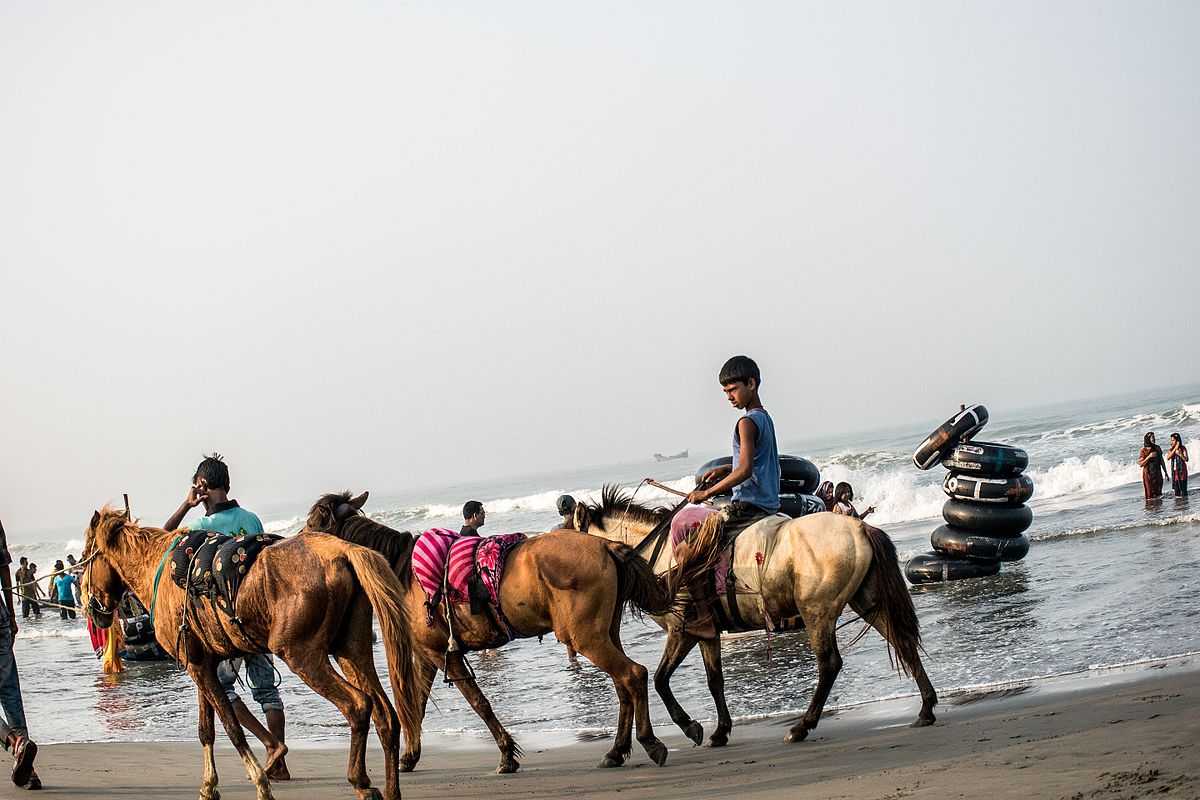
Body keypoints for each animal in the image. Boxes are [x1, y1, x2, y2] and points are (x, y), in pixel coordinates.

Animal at [81, 506, 422, 800]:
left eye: (84, 560)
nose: (92, 610)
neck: (158, 570)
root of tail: (341, 550)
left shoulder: (199, 667)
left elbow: (232, 727)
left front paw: (260, 784)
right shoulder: (201, 664)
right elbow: (206, 731)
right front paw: (209, 787)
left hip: (303, 657)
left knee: (358, 706)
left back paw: (360, 782)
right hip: (351, 651)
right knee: (386, 715)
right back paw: (390, 790)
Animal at [304, 491, 681, 772]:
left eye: (313, 523)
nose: (297, 543)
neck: (406, 572)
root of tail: (607, 546)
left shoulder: (442, 653)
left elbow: (479, 703)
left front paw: (506, 754)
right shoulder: (428, 653)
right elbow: (421, 704)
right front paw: (409, 756)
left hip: (586, 637)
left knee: (633, 675)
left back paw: (649, 742)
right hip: (604, 634)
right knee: (623, 684)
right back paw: (616, 751)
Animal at [576, 484, 940, 748]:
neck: (660, 555)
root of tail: (861, 528)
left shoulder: (682, 629)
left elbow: (661, 679)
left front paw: (690, 726)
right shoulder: (706, 632)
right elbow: (714, 681)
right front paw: (720, 731)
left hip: (817, 611)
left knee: (829, 664)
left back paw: (802, 726)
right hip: (868, 602)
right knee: (903, 642)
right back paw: (926, 708)